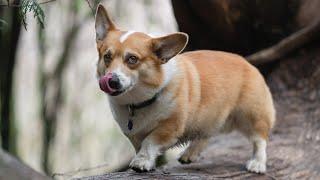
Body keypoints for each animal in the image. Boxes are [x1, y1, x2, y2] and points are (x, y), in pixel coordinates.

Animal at [94, 3, 276, 173]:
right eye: (107, 56)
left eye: (132, 59)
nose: (112, 81)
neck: (140, 101)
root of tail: (247, 62)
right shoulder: (132, 134)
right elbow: (141, 145)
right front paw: (147, 162)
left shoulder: (170, 127)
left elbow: (149, 142)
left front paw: (141, 162)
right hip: (211, 117)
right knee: (206, 135)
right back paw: (190, 153)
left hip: (252, 116)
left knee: (260, 139)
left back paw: (257, 163)